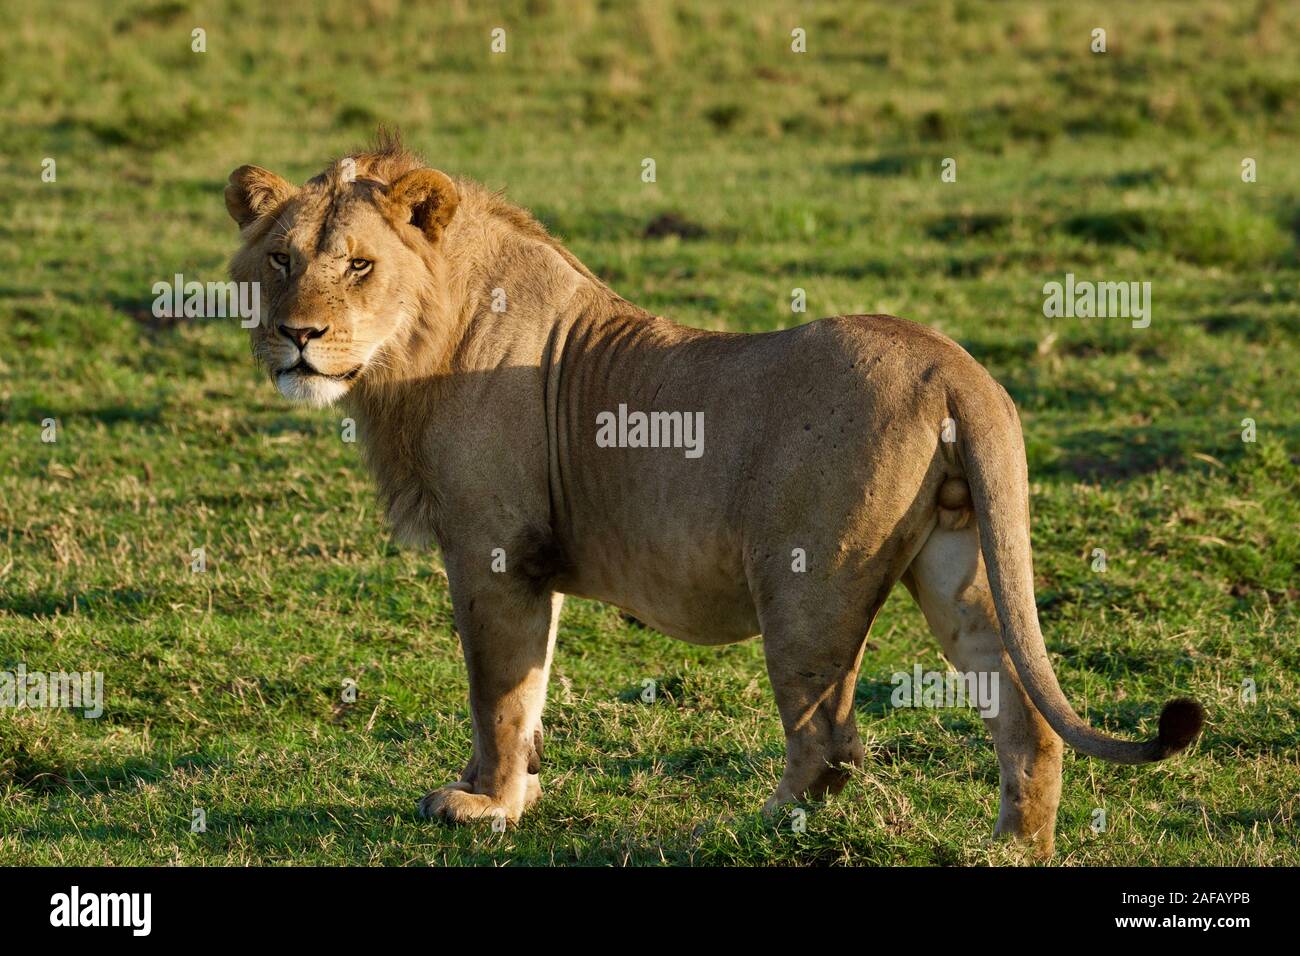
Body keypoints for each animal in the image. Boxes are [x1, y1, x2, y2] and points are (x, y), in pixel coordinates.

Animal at [226, 130, 1206, 858]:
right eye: (278, 259)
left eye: (358, 266)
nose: (296, 335)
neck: (414, 349)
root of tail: (953, 367)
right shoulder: (530, 565)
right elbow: (529, 691)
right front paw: (508, 793)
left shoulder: (495, 553)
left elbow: (497, 692)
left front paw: (485, 807)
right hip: (956, 560)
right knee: (1020, 707)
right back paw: (1012, 847)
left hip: (807, 585)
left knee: (829, 741)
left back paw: (752, 830)